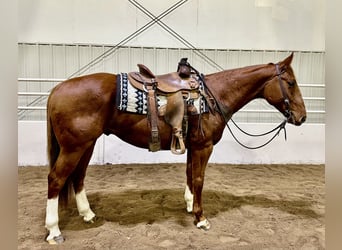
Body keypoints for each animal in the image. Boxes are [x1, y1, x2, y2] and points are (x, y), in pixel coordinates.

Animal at [44, 53, 304, 244]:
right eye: (290, 83)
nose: (302, 117)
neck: (214, 96)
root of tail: (57, 90)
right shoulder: (204, 147)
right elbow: (198, 178)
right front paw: (201, 218)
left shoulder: (193, 146)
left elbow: (189, 174)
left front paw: (189, 205)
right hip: (74, 147)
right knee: (56, 179)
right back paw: (54, 231)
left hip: (86, 145)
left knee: (78, 176)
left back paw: (87, 214)